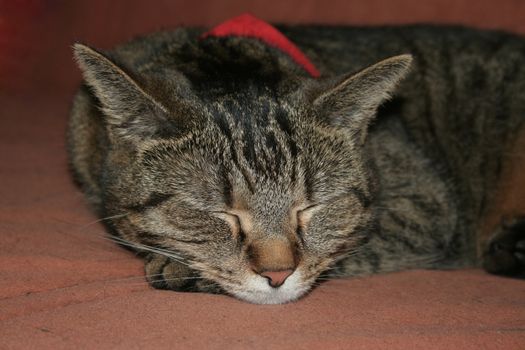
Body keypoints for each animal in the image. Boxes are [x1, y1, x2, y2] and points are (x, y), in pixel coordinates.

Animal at [68, 19, 524, 304]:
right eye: (219, 214)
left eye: (311, 208)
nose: (277, 275)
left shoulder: (427, 208)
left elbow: (348, 247)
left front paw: (178, 269)